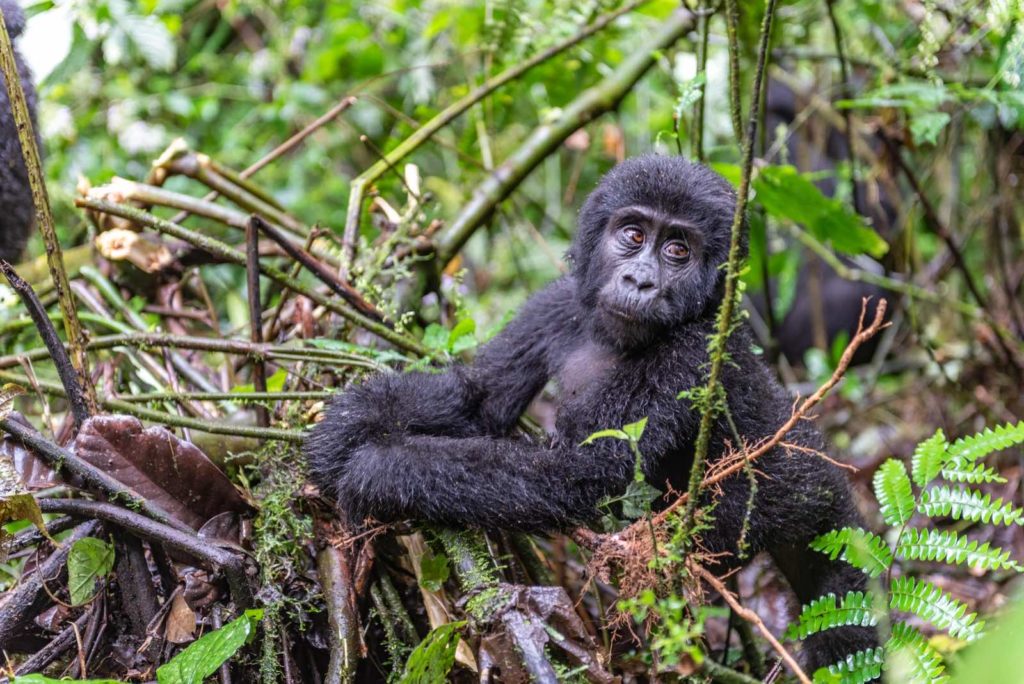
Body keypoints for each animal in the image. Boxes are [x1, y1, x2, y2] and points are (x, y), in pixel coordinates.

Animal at [305, 155, 876, 671]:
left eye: (678, 250)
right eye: (633, 234)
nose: (641, 280)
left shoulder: (692, 353)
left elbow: (576, 474)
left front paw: (380, 469)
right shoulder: (557, 303)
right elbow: (479, 403)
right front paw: (353, 420)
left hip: (823, 511)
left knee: (843, 630)